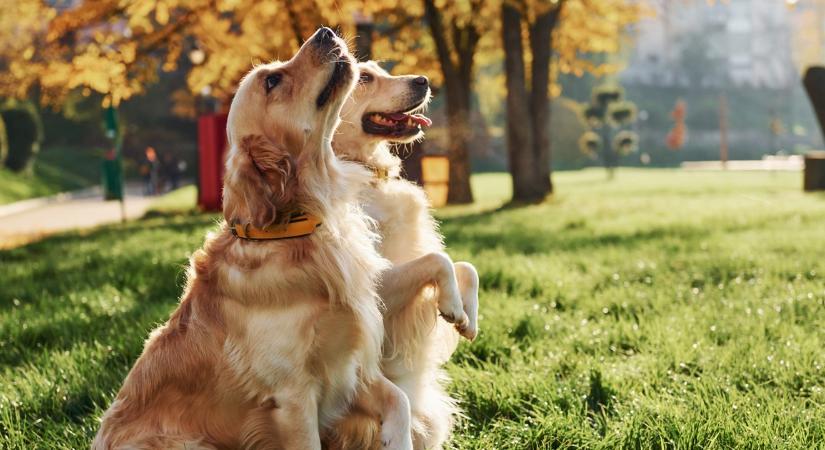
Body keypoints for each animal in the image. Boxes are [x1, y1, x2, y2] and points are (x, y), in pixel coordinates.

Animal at [93, 29, 412, 450]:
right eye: (272, 81)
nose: (325, 32)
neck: (302, 228)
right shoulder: (293, 396)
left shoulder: (350, 368)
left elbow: (401, 399)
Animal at [326, 60, 482, 450]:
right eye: (364, 78)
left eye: (378, 69)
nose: (423, 80)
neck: (367, 173)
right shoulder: (378, 288)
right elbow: (438, 261)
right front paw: (452, 305)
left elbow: (465, 265)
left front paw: (467, 317)